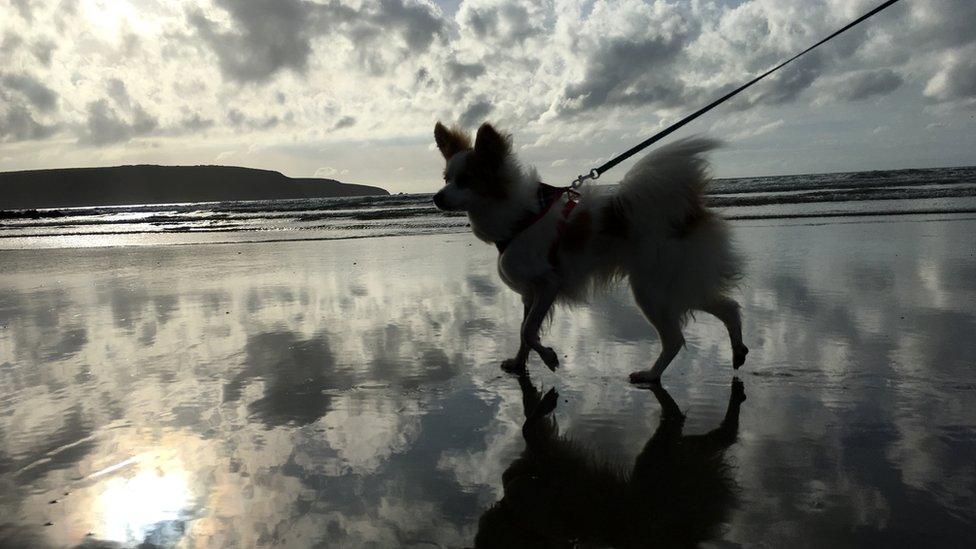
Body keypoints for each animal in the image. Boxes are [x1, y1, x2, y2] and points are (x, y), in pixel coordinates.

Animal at [430, 122, 744, 384]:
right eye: (446, 179)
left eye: (466, 180)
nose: (436, 197)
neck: (520, 217)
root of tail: (688, 213)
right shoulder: (530, 293)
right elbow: (523, 332)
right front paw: (520, 364)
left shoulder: (548, 284)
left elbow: (528, 331)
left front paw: (549, 357)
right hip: (677, 282)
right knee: (728, 307)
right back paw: (738, 351)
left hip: (652, 290)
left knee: (675, 339)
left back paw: (651, 375)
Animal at [476, 374, 744, 544]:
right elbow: (531, 438)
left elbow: (530, 438)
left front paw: (537, 409)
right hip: (661, 466)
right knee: (686, 429)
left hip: (661, 469)